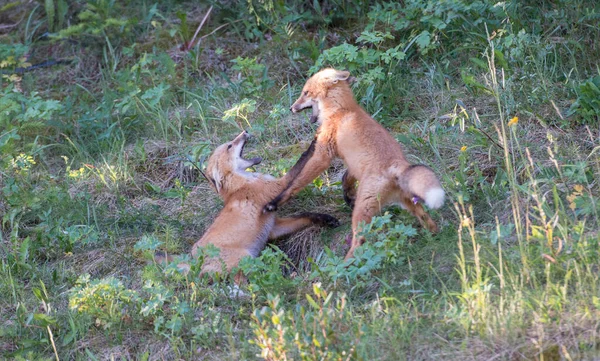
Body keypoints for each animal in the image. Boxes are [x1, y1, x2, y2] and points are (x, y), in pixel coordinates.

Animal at [268, 68, 446, 258]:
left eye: (305, 93)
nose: (291, 108)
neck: (340, 110)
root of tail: (399, 164)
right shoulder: (353, 164)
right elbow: (346, 178)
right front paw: (347, 196)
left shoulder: (323, 155)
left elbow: (297, 183)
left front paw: (276, 202)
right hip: (408, 203)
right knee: (427, 219)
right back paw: (435, 235)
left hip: (362, 212)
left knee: (359, 242)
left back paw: (345, 264)